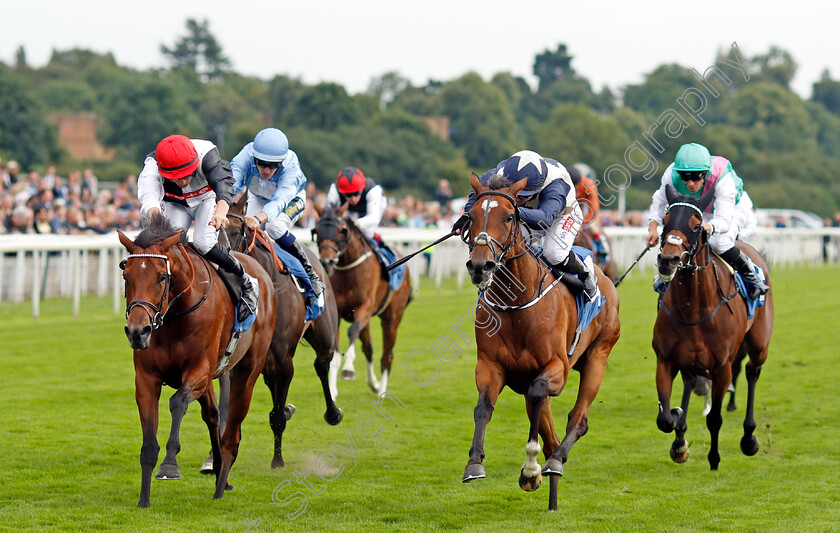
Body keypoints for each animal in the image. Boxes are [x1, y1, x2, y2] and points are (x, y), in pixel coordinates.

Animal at [120, 216, 276, 508]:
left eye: (162, 277)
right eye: (126, 275)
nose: (137, 332)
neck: (175, 315)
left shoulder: (199, 371)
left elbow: (177, 402)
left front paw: (170, 465)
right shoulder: (146, 378)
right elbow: (148, 444)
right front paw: (144, 500)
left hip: (248, 370)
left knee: (232, 432)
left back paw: (220, 484)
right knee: (213, 415)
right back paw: (218, 474)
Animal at [223, 190, 344, 466]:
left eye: (235, 231)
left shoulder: (282, 358)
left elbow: (277, 416)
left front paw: (277, 460)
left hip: (324, 335)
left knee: (322, 363)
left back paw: (332, 412)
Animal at [312, 202, 410, 396]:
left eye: (341, 230)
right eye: (317, 230)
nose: (326, 262)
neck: (348, 271)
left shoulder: (365, 307)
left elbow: (351, 333)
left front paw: (348, 369)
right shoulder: (339, 314)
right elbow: (336, 352)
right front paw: (332, 389)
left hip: (392, 317)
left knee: (387, 354)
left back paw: (382, 391)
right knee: (368, 348)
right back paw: (375, 384)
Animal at [462, 172, 620, 510]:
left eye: (509, 217)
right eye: (471, 217)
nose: (480, 265)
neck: (516, 302)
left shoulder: (556, 367)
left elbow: (539, 396)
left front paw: (531, 467)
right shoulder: (490, 367)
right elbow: (483, 407)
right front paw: (475, 463)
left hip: (598, 355)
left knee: (577, 419)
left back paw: (554, 462)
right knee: (548, 428)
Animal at [648, 185, 776, 468]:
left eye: (696, 226)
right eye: (665, 220)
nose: (668, 260)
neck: (693, 308)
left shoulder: (721, 367)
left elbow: (714, 418)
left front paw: (714, 458)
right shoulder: (665, 359)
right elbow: (664, 419)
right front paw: (678, 431)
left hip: (759, 345)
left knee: (751, 371)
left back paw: (749, 438)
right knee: (690, 381)